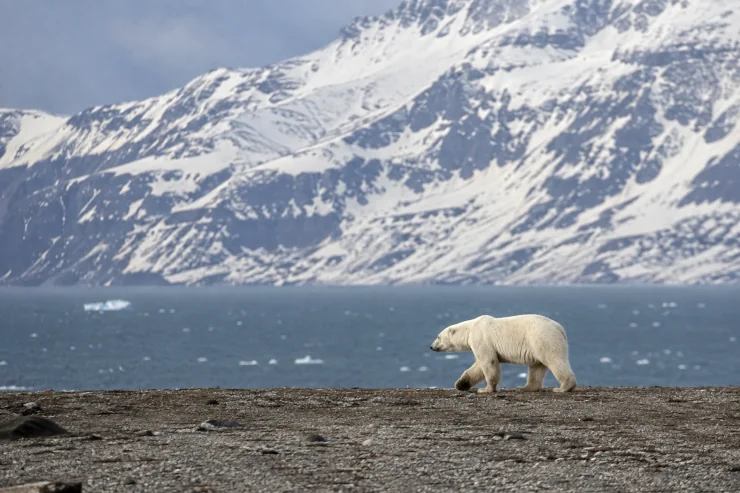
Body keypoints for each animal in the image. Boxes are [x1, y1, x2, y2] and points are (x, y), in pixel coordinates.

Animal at [430, 314, 577, 393]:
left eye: (438, 337)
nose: (431, 347)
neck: (470, 329)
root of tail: (560, 328)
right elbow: (478, 366)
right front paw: (461, 384)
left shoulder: (481, 338)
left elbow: (488, 362)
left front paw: (486, 389)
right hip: (537, 344)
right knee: (537, 367)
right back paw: (525, 387)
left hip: (543, 338)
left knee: (554, 360)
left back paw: (563, 387)